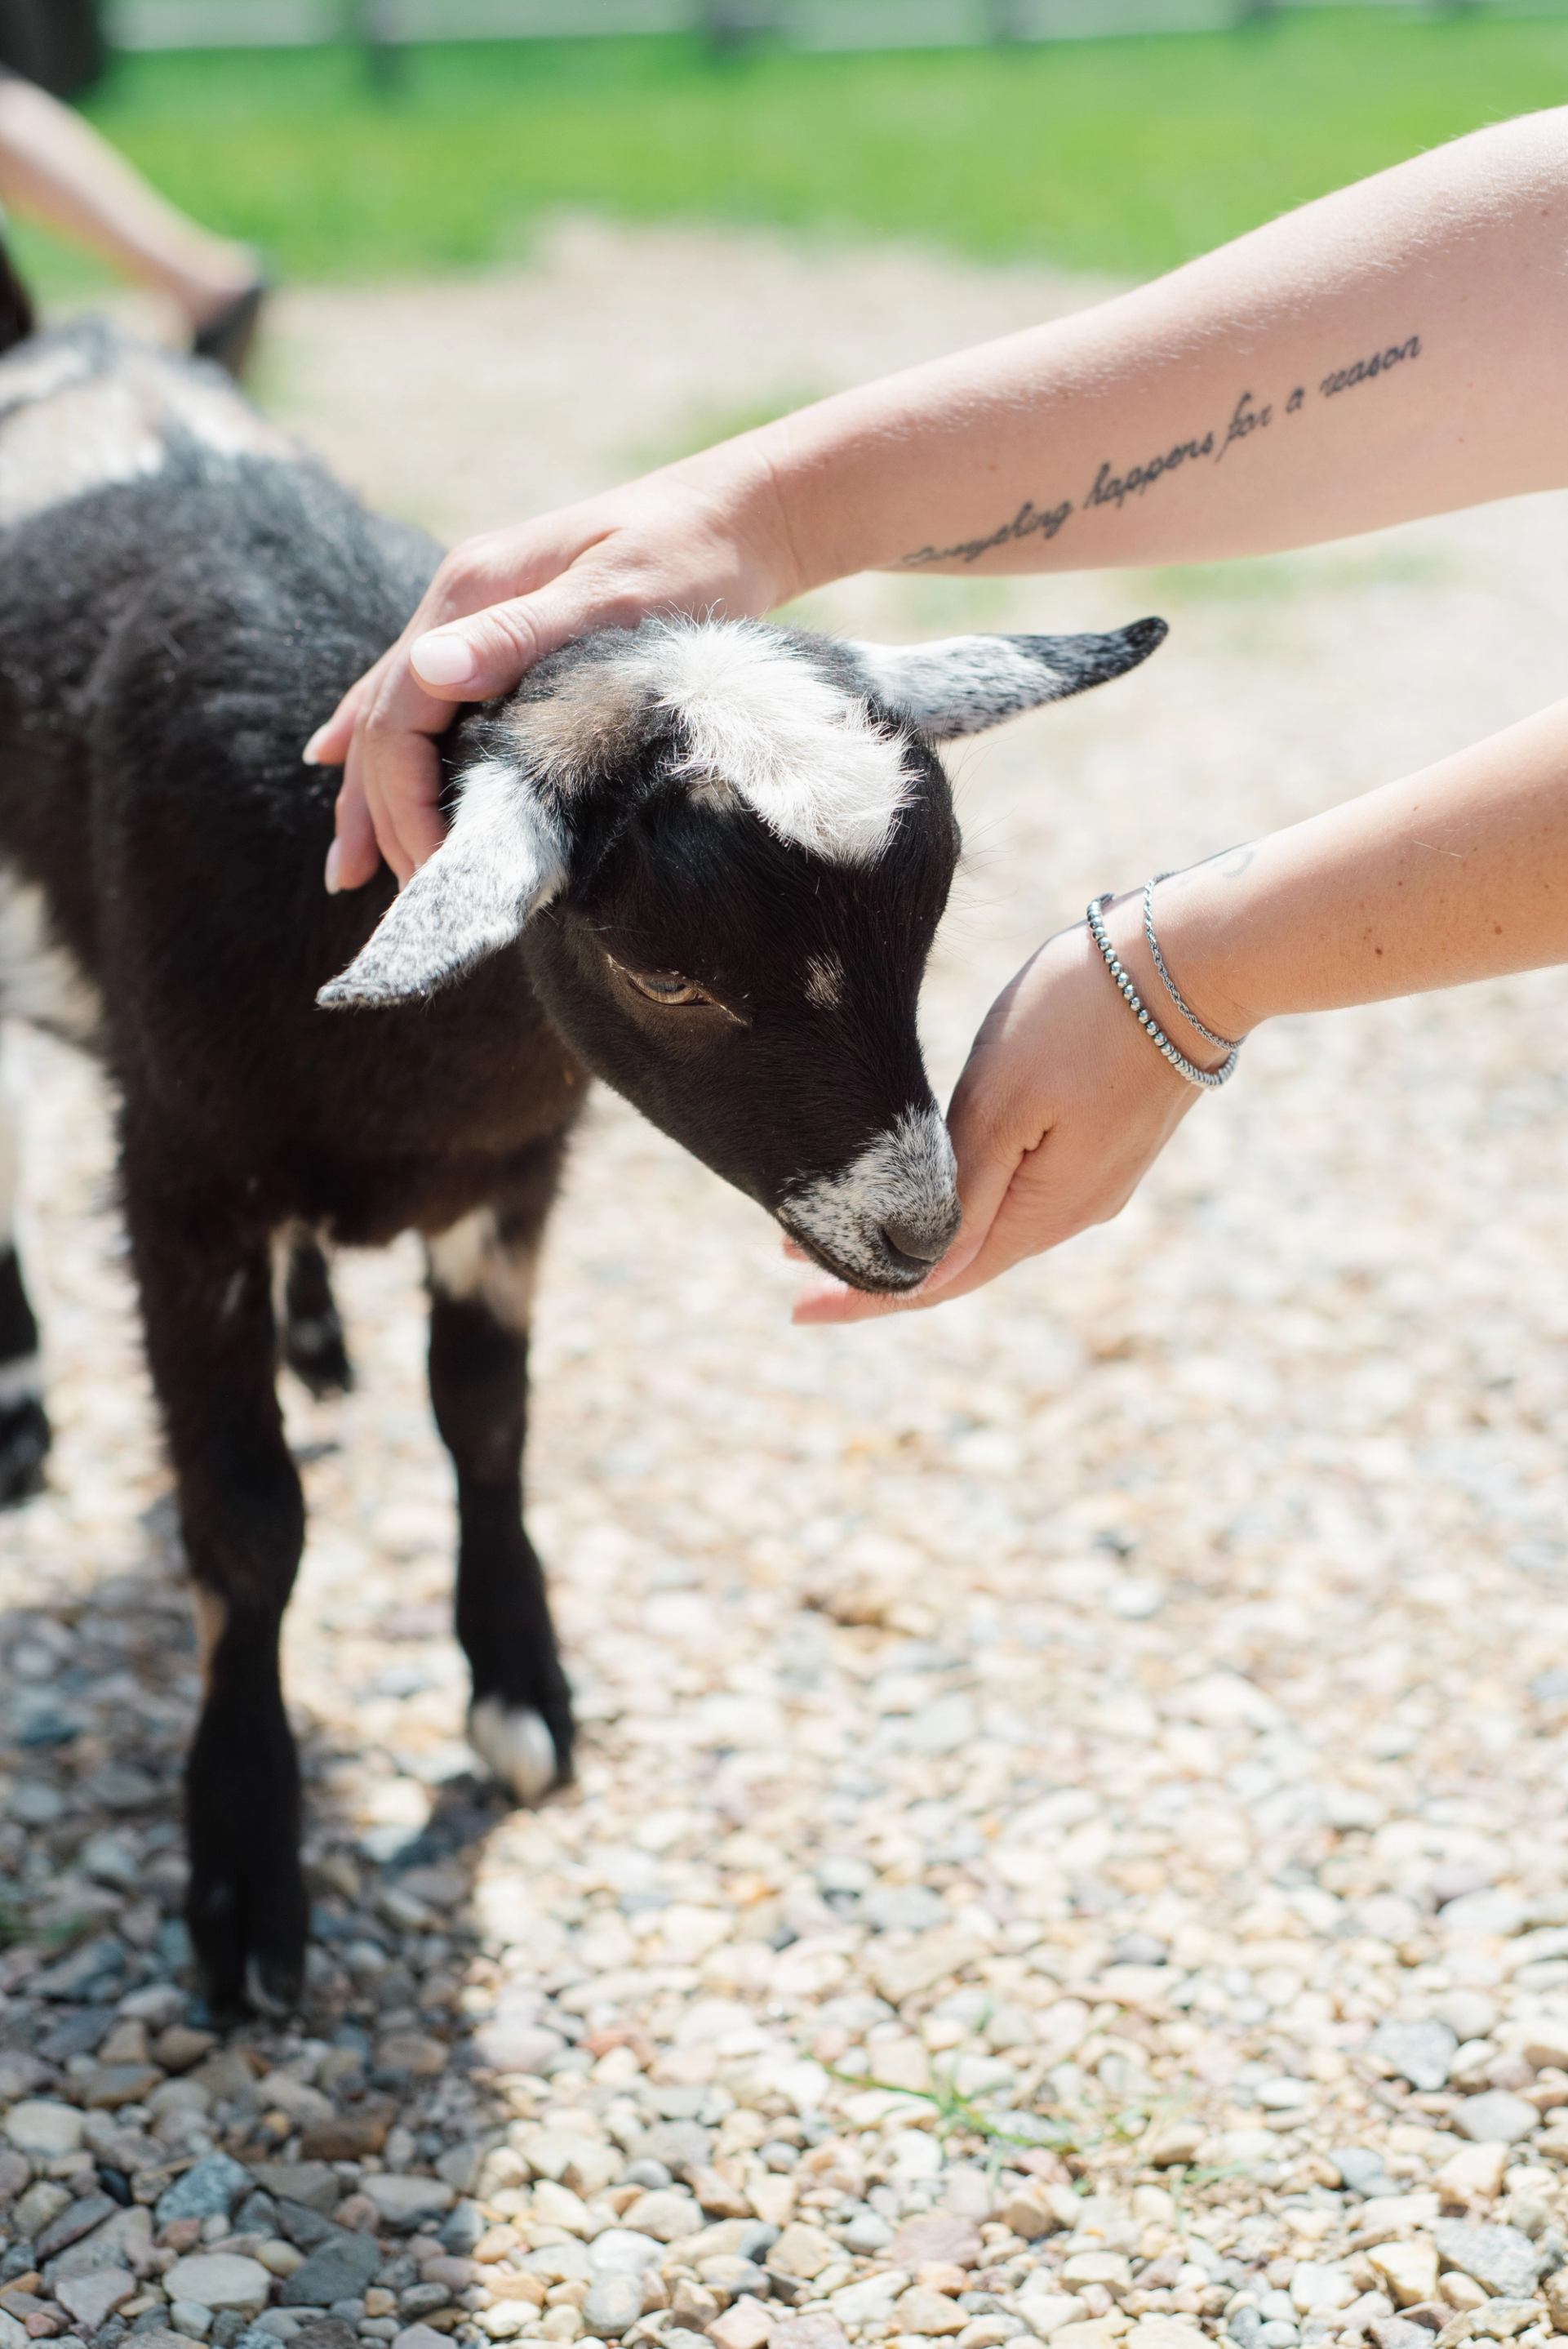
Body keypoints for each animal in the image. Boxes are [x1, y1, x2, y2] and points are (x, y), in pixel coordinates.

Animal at [0, 285, 1165, 2014]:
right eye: (666, 973)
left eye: (929, 924)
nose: (913, 1232)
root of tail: (76, 338)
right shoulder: (179, 1174)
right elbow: (247, 1523)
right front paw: (243, 1868)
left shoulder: (514, 1175)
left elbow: (486, 1420)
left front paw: (519, 1692)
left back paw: (317, 1337)